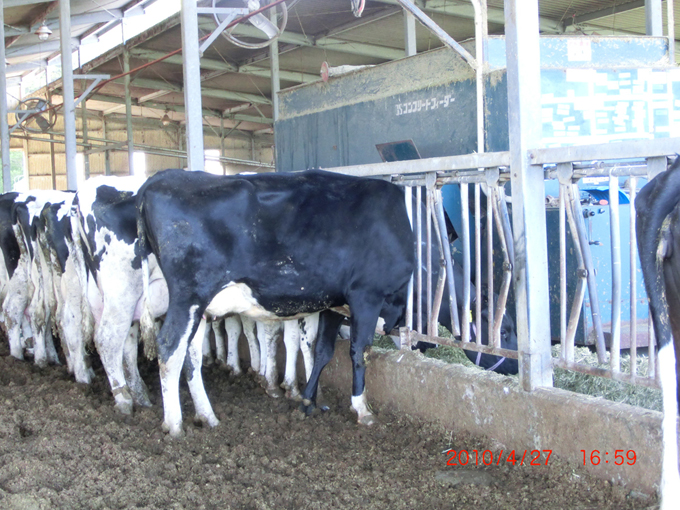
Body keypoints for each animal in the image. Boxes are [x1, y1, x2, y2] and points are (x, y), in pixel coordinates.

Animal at [137, 169, 414, 436]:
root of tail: (159, 178)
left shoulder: (335, 304)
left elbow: (322, 350)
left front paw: (310, 402)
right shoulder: (367, 295)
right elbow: (360, 351)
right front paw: (362, 409)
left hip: (198, 307)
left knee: (191, 352)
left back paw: (207, 416)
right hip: (189, 295)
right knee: (169, 346)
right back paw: (174, 425)